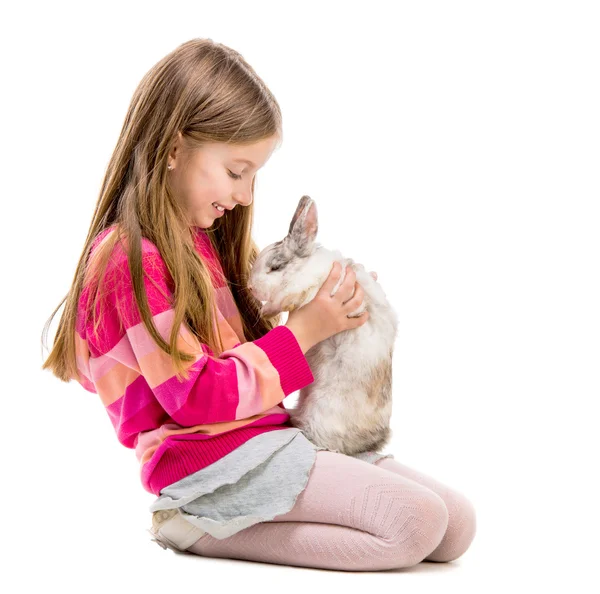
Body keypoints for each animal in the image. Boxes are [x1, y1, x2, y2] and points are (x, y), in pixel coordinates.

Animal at [248, 194, 398, 454]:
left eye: (276, 267)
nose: (250, 287)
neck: (307, 268)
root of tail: (370, 442)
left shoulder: (302, 288)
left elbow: (282, 299)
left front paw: (266, 310)